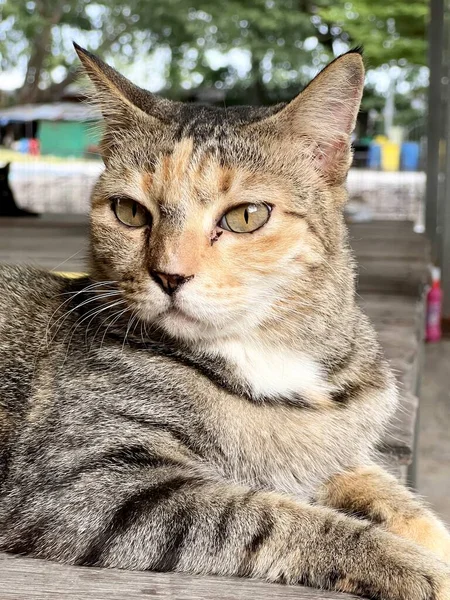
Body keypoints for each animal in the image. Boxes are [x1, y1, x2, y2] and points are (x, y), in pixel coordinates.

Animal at [0, 43, 448, 600]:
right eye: (129, 212)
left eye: (246, 216)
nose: (169, 275)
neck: (264, 352)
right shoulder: (83, 484)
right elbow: (271, 515)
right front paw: (410, 564)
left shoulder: (341, 453)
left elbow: (393, 495)